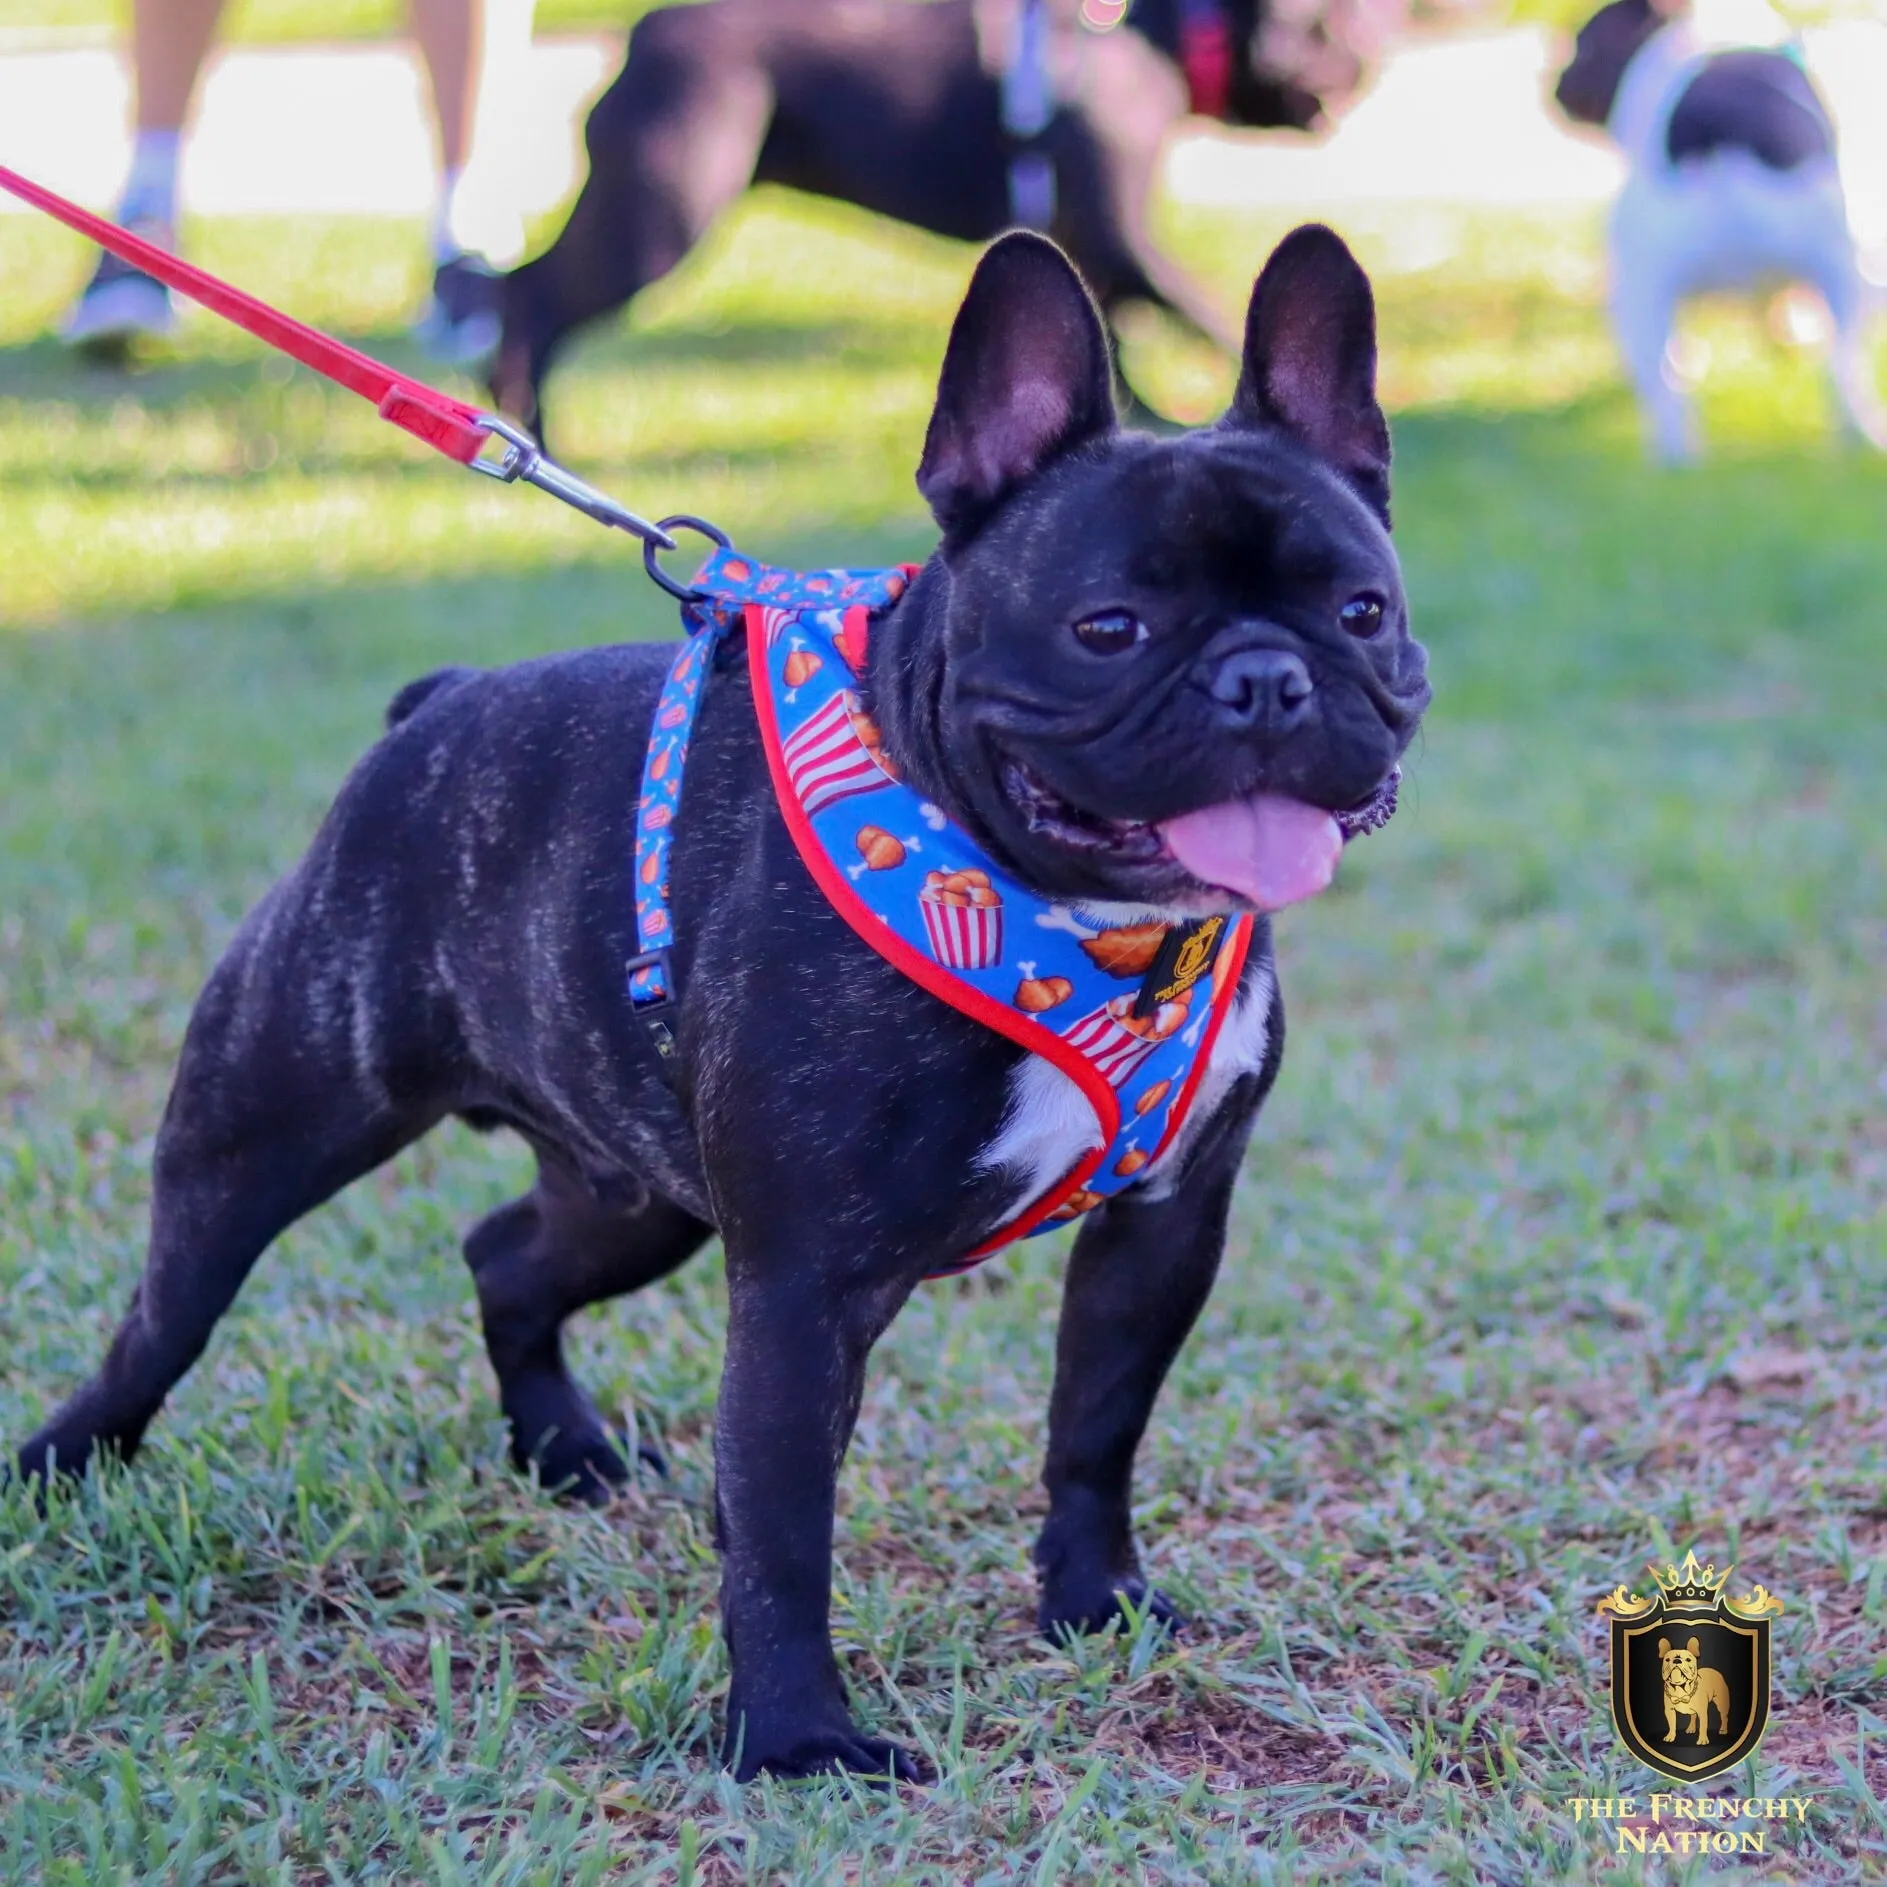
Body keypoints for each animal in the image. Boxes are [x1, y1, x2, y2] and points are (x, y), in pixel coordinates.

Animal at [1554, 0, 1879, 460]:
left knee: (1666, 391)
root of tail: (1718, 132)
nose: (1556, 84)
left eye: (1581, 49)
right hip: (1841, 271)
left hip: (1633, 290)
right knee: (1842, 365)